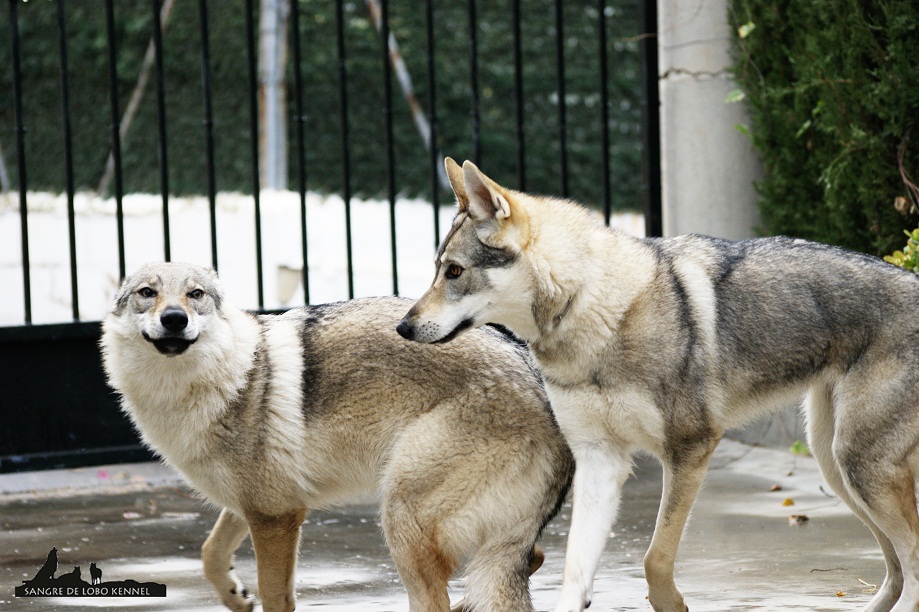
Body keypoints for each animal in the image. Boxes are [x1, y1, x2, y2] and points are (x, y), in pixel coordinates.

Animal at [102, 262, 576, 612]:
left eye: (196, 295)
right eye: (148, 292)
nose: (174, 319)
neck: (227, 378)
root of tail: (538, 382)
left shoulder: (276, 516)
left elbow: (275, 596)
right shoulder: (252, 505)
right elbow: (210, 553)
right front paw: (235, 596)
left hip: (401, 515)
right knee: (528, 560)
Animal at [400, 159, 919, 612]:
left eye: (454, 272)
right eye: (437, 269)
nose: (403, 327)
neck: (591, 310)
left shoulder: (690, 450)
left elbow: (655, 558)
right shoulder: (600, 461)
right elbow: (574, 571)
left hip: (857, 467)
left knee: (911, 564)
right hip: (836, 465)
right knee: (897, 569)